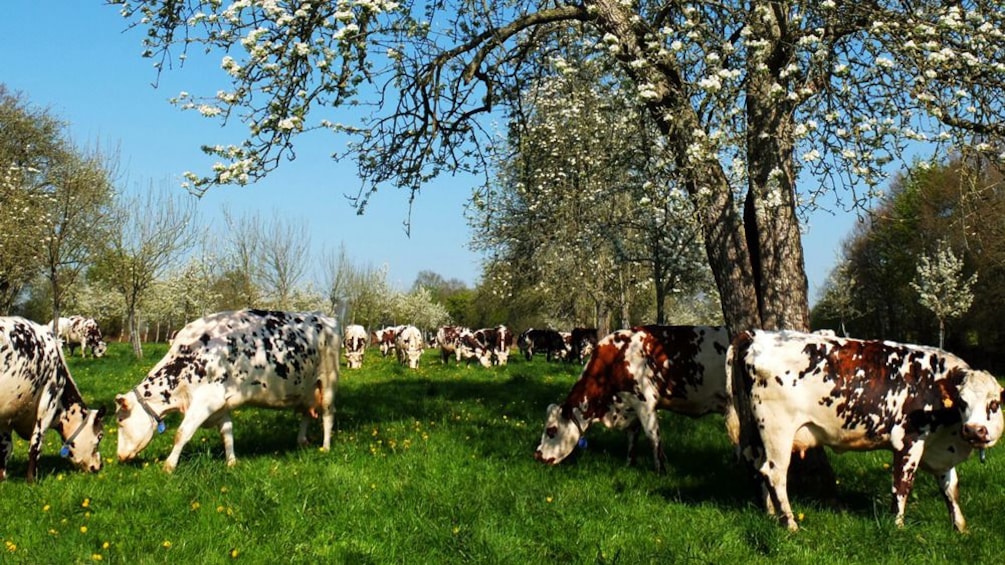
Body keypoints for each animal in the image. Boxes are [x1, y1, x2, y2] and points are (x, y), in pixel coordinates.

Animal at [0, 317, 105, 478]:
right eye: (100, 436)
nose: (99, 465)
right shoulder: (48, 402)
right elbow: (35, 445)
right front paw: (32, 479)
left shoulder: (8, 415)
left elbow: (5, 448)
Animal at [114, 307, 341, 470]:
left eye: (120, 421)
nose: (119, 456)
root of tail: (326, 318)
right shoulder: (221, 404)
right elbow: (227, 433)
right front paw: (232, 462)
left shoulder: (206, 401)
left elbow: (182, 432)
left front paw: (168, 466)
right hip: (307, 390)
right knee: (306, 413)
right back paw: (301, 441)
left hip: (328, 382)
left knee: (328, 415)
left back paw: (325, 447)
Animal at [534, 323, 731, 468]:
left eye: (551, 430)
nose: (537, 455)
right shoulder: (630, 405)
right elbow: (632, 437)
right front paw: (630, 464)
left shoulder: (645, 403)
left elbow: (653, 437)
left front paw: (661, 470)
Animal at [731, 327, 1005, 530]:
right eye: (962, 401)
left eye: (994, 403)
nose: (974, 430)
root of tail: (757, 334)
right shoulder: (909, 439)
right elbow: (902, 484)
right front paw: (898, 526)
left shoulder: (939, 448)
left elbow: (951, 488)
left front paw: (960, 528)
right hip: (778, 429)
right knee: (775, 473)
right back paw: (789, 524)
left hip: (758, 431)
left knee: (758, 466)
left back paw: (770, 514)